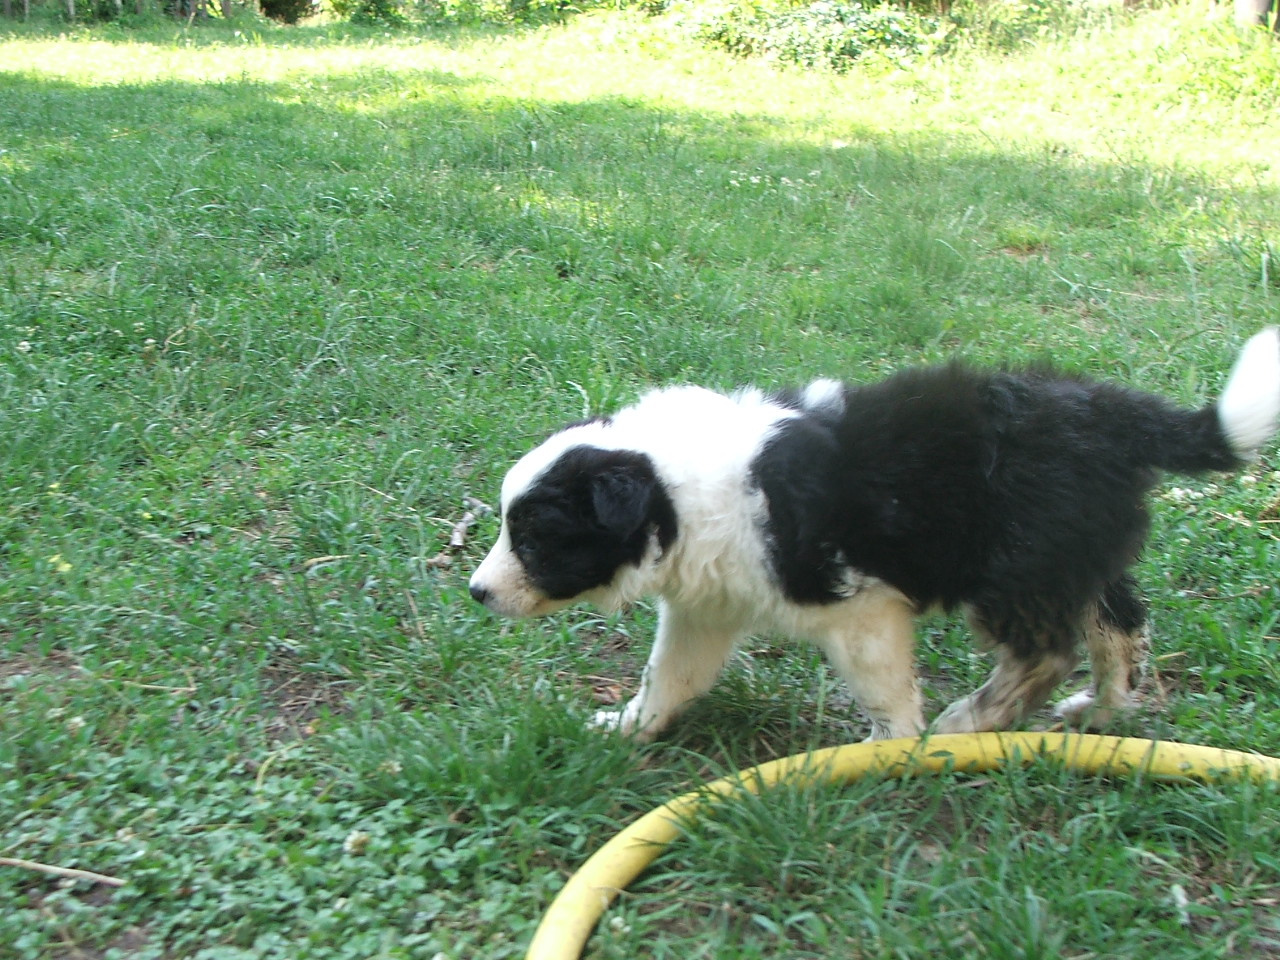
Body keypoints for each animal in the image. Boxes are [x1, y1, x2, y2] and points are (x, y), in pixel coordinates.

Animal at [471, 332, 1280, 742]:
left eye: (534, 540)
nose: (478, 593)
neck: (672, 489)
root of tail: (1117, 418)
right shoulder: (707, 606)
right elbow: (671, 674)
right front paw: (629, 726)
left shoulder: (859, 611)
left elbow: (885, 691)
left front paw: (888, 752)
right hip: (1073, 555)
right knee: (1121, 625)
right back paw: (1101, 711)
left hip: (1015, 565)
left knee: (1046, 650)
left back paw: (968, 722)